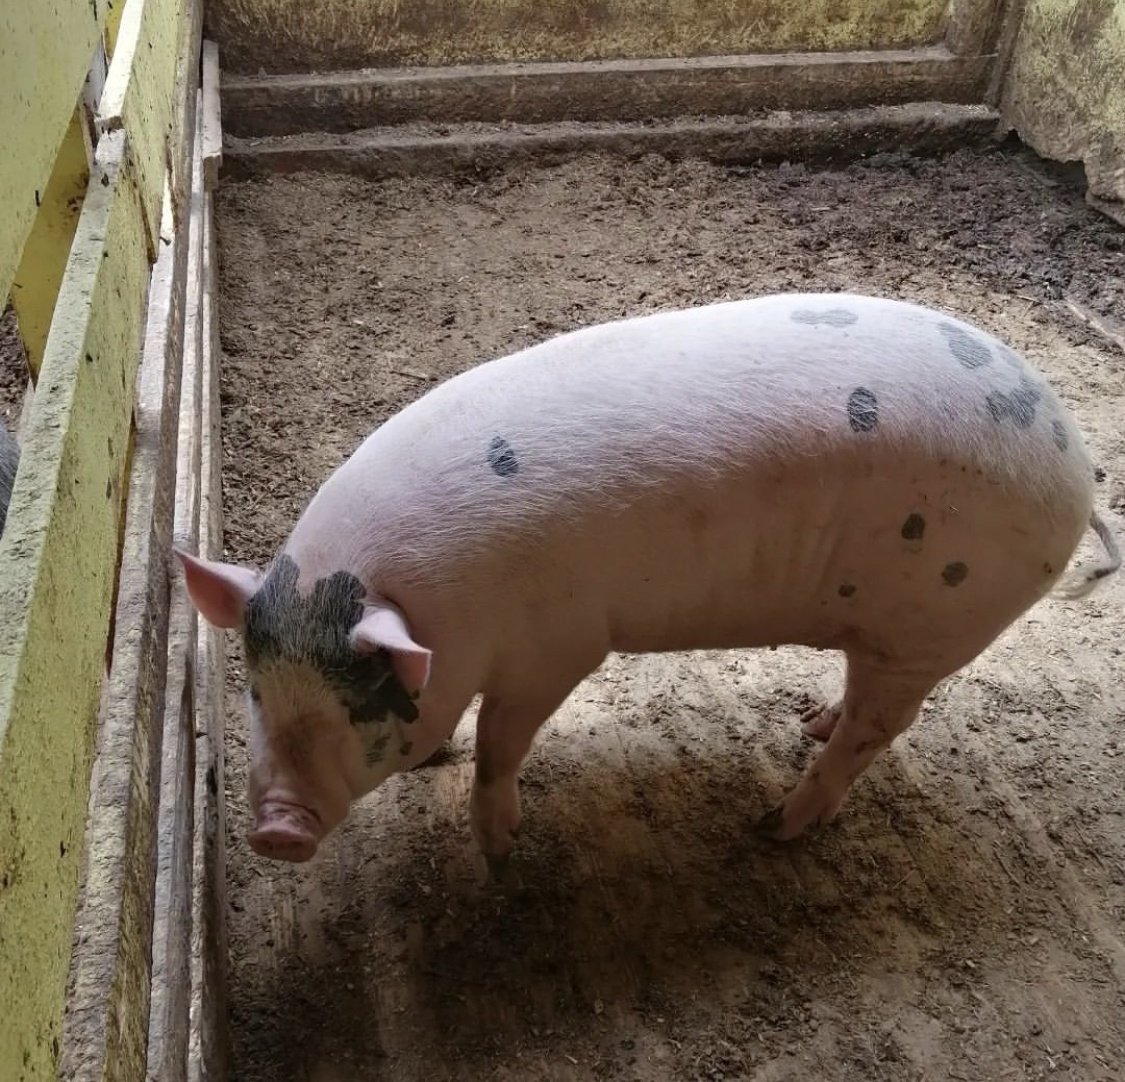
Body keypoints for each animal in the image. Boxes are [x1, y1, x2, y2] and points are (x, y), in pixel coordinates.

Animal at [178, 293, 1120, 868]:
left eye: (357, 706)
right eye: (256, 692)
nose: (274, 831)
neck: (438, 611)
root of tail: (1074, 458)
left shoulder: (560, 647)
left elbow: (503, 740)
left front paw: (499, 848)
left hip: (933, 623)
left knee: (877, 730)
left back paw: (775, 827)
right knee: (859, 710)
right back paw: (807, 722)